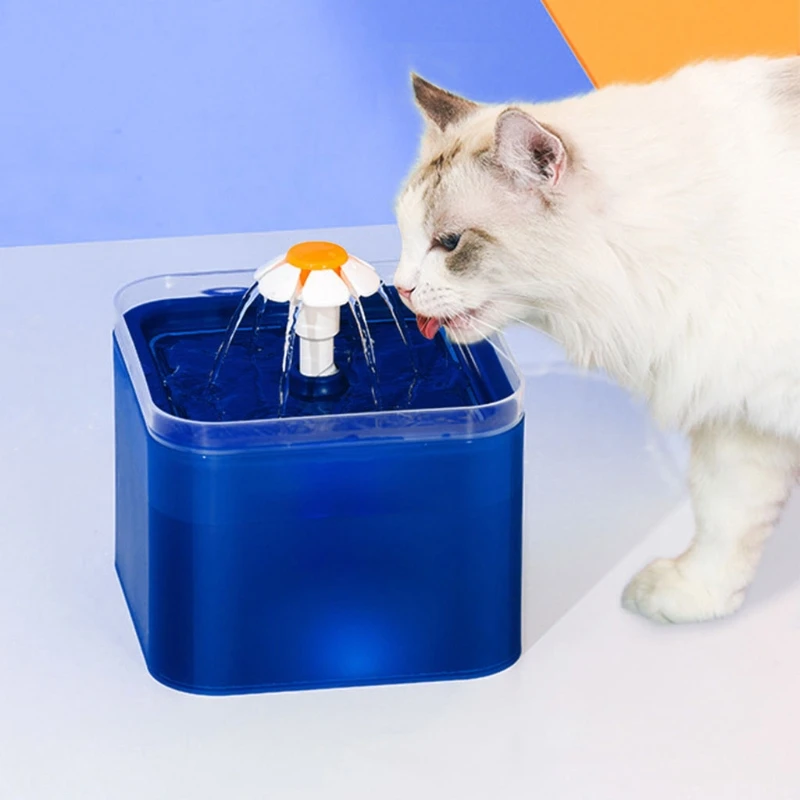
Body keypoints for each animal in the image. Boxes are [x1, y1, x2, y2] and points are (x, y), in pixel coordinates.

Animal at [392, 56, 800, 624]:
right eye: (404, 235)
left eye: (449, 244)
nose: (401, 288)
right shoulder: (739, 417)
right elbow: (724, 518)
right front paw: (694, 595)